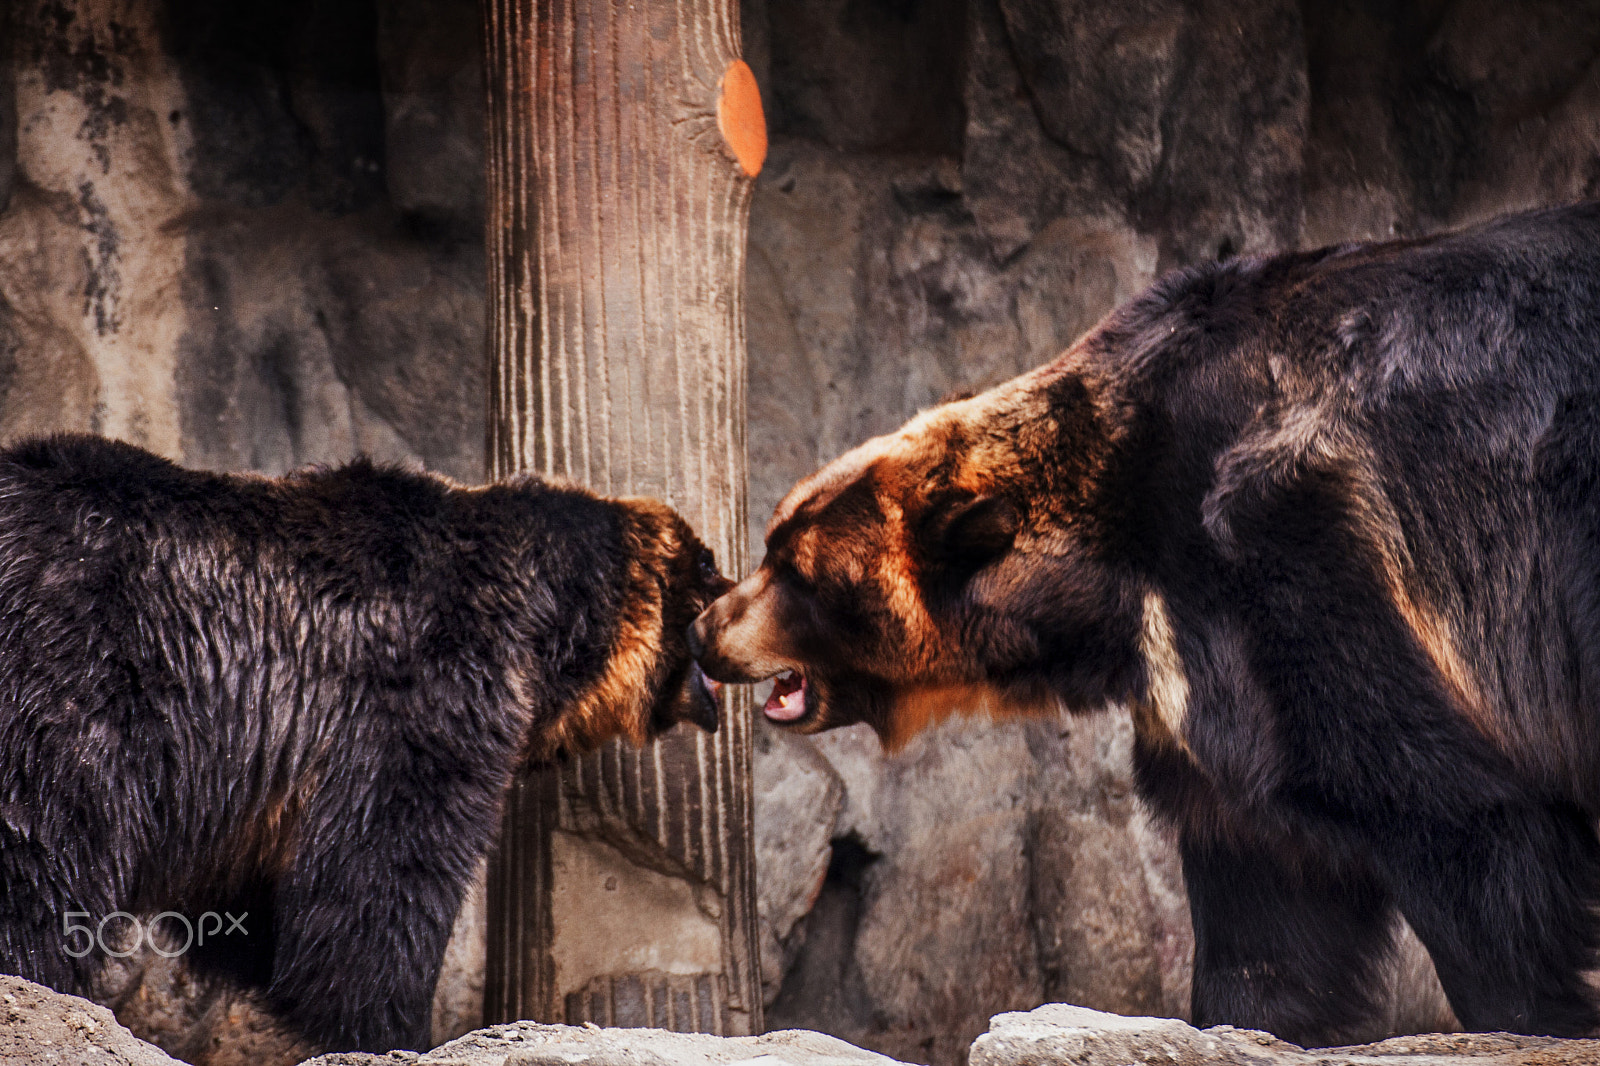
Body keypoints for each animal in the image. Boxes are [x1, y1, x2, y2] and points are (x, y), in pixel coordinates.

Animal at [0, 433, 730, 1054]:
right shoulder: (422, 689)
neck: (543, 628)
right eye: (710, 566)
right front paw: (394, 1028)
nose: (732, 595)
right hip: (74, 671)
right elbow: (385, 874)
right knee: (46, 847)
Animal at [692, 201, 1600, 1046]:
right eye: (775, 538)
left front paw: (1537, 1011)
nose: (707, 627)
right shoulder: (1205, 687)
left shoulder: (1292, 551)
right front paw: (1258, 1018)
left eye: (800, 571)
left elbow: (1440, 802)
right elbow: (1266, 893)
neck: (1109, 586)